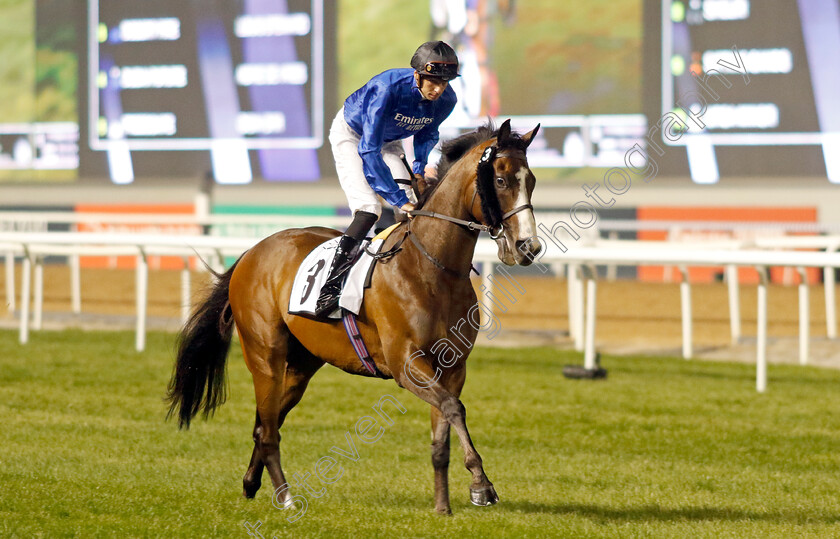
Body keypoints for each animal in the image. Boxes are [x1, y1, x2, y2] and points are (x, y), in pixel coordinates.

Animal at [167, 118, 540, 516]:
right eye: (500, 179)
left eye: (531, 180)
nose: (529, 247)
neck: (432, 267)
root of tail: (252, 252)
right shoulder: (406, 365)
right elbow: (455, 409)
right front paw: (482, 485)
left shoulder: (451, 367)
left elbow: (444, 430)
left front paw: (445, 504)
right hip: (265, 355)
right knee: (267, 430)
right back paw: (285, 497)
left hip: (301, 365)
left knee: (267, 422)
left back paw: (251, 484)